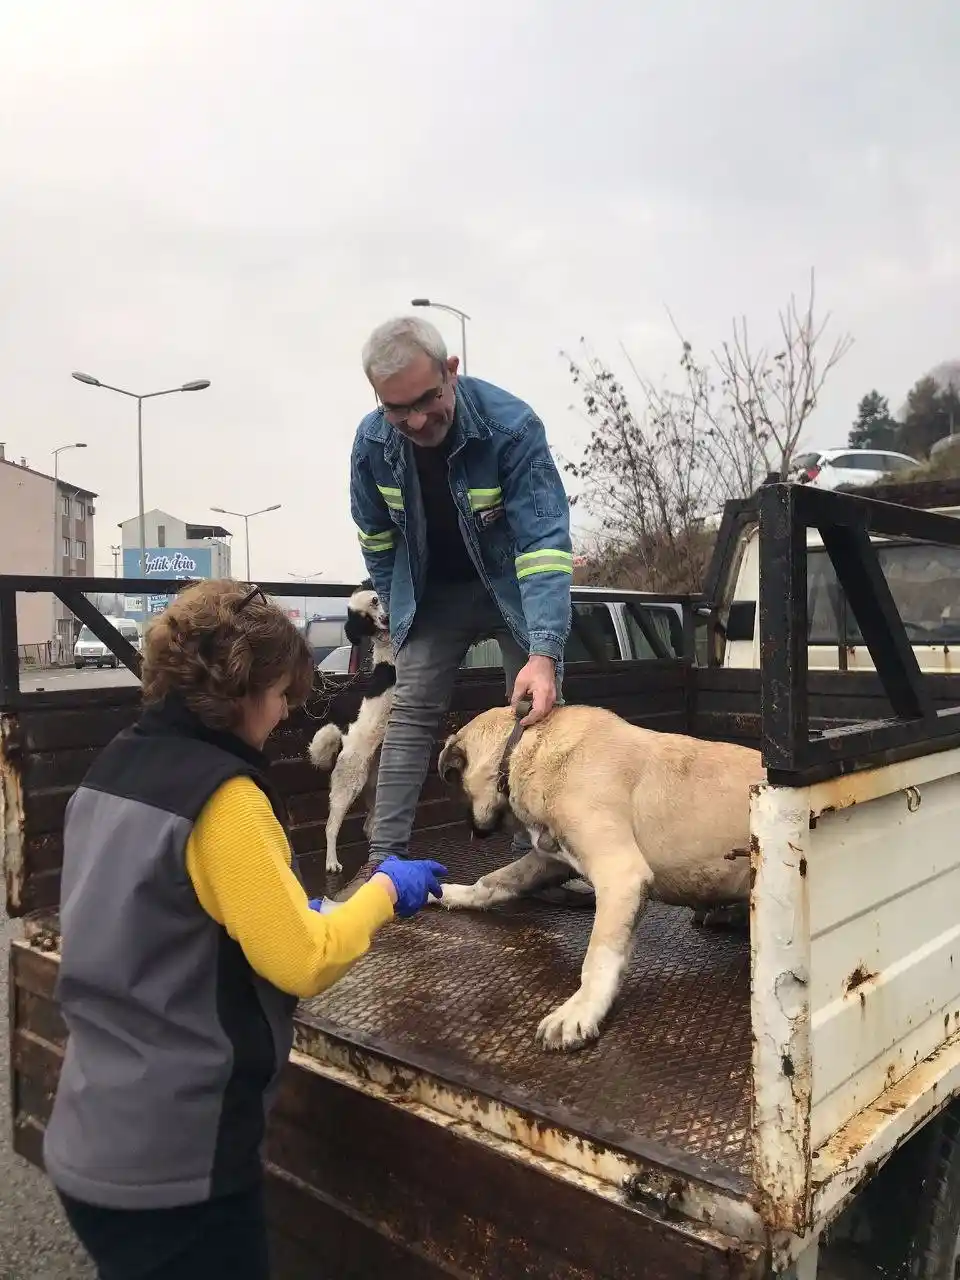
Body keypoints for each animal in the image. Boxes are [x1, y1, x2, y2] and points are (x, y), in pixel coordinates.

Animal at [309, 581, 396, 870]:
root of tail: (345, 738)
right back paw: (331, 862)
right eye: (366, 621)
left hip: (373, 785)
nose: (386, 619)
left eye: (375, 600)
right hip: (348, 786)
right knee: (330, 827)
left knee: (369, 824)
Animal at [437, 701, 768, 1049]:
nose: (471, 829)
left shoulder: (620, 874)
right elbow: (494, 881)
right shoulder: (550, 859)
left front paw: (580, 1009)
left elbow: (599, 955)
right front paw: (454, 893)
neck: (524, 748)